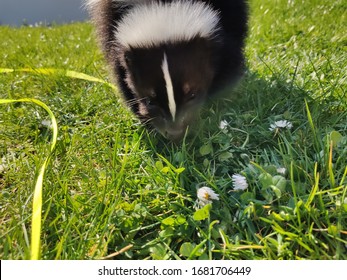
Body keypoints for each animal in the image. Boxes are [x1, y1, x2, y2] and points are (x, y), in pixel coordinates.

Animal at [85, 0, 249, 140]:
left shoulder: (230, 16)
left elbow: (229, 56)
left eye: (193, 94)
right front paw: (145, 120)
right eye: (150, 101)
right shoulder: (110, 27)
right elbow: (122, 76)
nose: (174, 132)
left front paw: (215, 105)